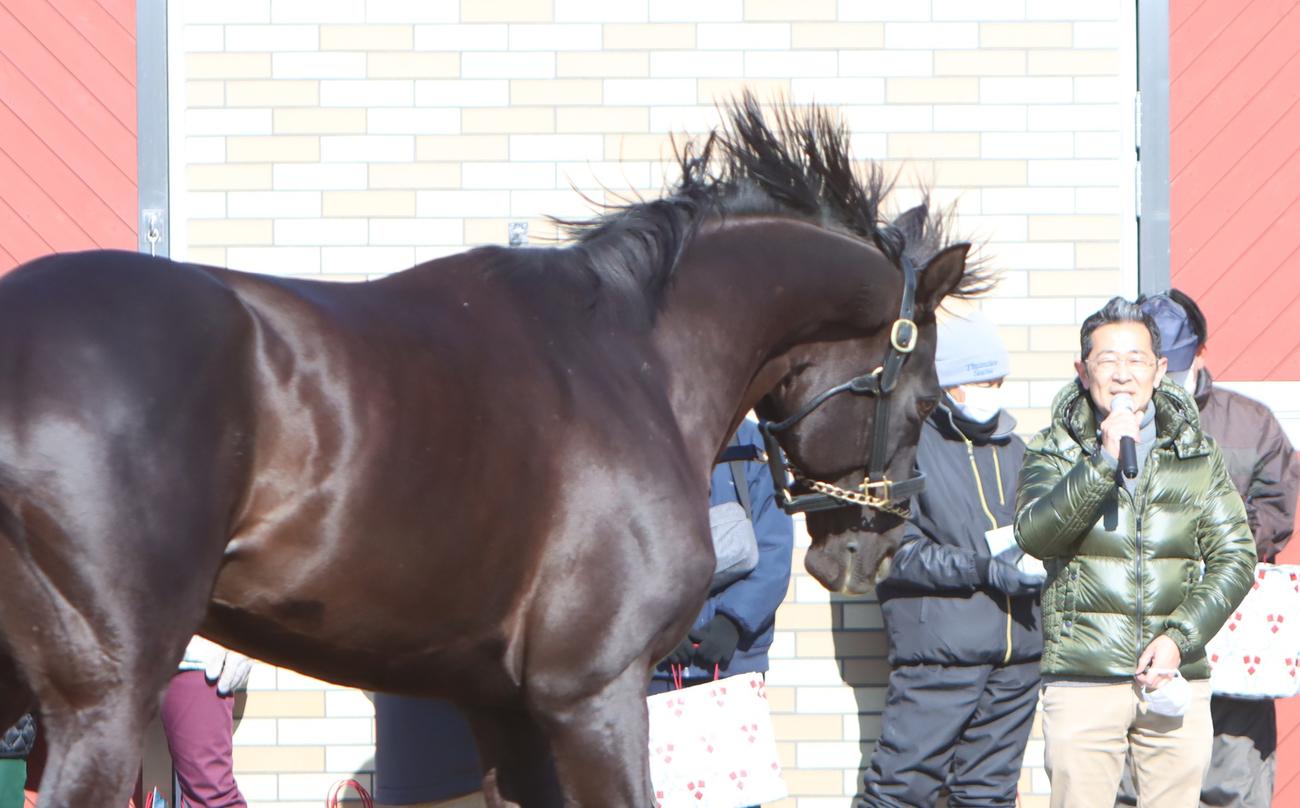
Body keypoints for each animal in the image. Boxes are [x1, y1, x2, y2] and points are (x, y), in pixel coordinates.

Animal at [0, 97, 985, 806]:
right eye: (925, 399)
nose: (866, 551)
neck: (632, 356)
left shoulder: (501, 708)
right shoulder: (593, 694)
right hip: (105, 699)